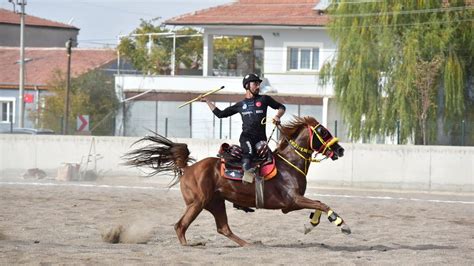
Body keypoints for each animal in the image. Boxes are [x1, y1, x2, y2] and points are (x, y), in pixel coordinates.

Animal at [124, 117, 350, 247]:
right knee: (180, 226)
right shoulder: (292, 201)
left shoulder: (293, 202)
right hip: (198, 203)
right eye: (323, 132)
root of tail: (188, 169)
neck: (288, 164)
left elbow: (318, 206)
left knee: (223, 228)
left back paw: (249, 244)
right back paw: (189, 245)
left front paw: (310, 225)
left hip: (216, 203)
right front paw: (341, 224)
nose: (340, 150)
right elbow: (321, 204)